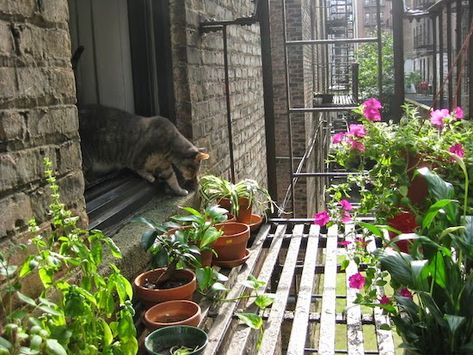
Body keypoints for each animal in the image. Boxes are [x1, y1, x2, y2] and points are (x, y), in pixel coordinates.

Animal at [79, 104, 208, 196]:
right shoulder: (139, 154)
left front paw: (180, 191)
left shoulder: (165, 166)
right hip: (86, 158)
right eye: (193, 168)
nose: (193, 178)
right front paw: (149, 176)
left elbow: (172, 179)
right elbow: (138, 168)